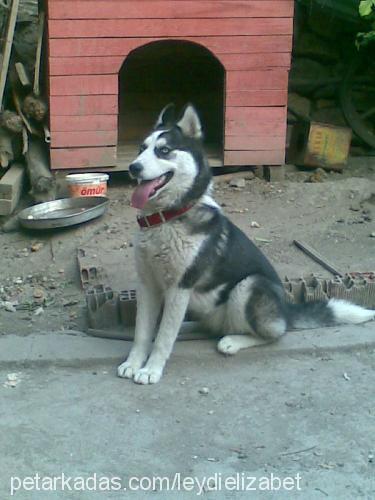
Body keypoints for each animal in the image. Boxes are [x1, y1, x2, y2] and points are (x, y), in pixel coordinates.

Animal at [118, 103, 375, 384]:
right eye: (141, 149)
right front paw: (133, 363)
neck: (167, 218)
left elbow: (164, 338)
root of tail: (286, 310)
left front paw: (151, 369)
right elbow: (143, 333)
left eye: (164, 150)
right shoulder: (148, 285)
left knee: (275, 333)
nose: (133, 167)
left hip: (248, 286)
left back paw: (233, 340)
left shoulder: (180, 286)